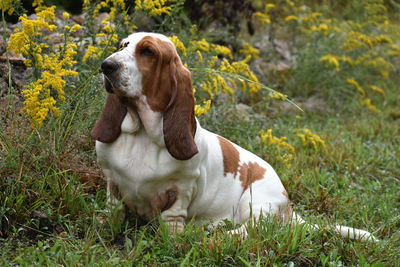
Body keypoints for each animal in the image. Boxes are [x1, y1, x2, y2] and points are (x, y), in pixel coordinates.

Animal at [90, 32, 376, 242]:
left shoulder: (181, 189)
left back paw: (214, 236)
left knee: (251, 231)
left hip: (256, 202)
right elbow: (113, 208)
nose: (106, 66)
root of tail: (290, 210)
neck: (142, 135)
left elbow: (171, 217)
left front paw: (174, 240)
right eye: (123, 45)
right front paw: (102, 226)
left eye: (148, 52)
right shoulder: (112, 181)